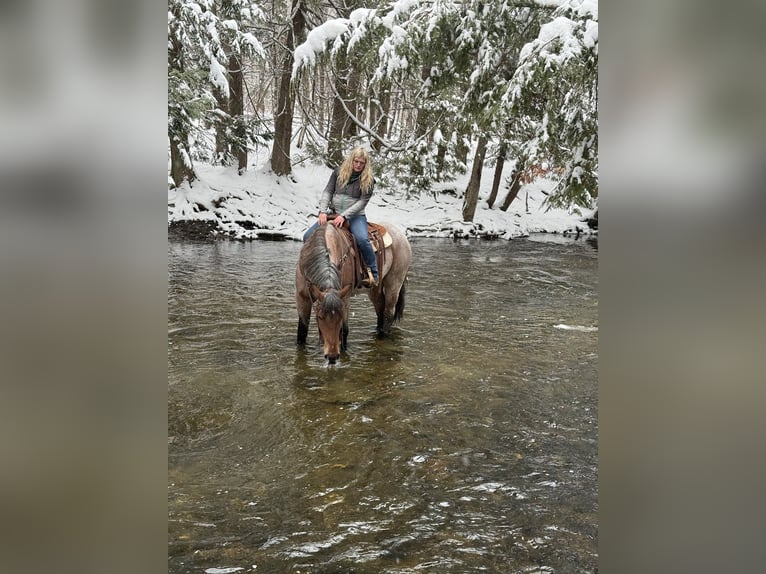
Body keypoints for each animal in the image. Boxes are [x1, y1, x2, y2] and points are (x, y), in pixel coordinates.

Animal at [295, 221, 412, 364]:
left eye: (339, 317)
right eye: (320, 317)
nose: (332, 357)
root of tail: (401, 234)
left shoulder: (345, 298)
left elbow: (344, 331)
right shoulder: (302, 297)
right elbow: (302, 332)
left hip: (394, 282)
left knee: (388, 313)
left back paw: (382, 337)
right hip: (374, 290)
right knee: (380, 309)